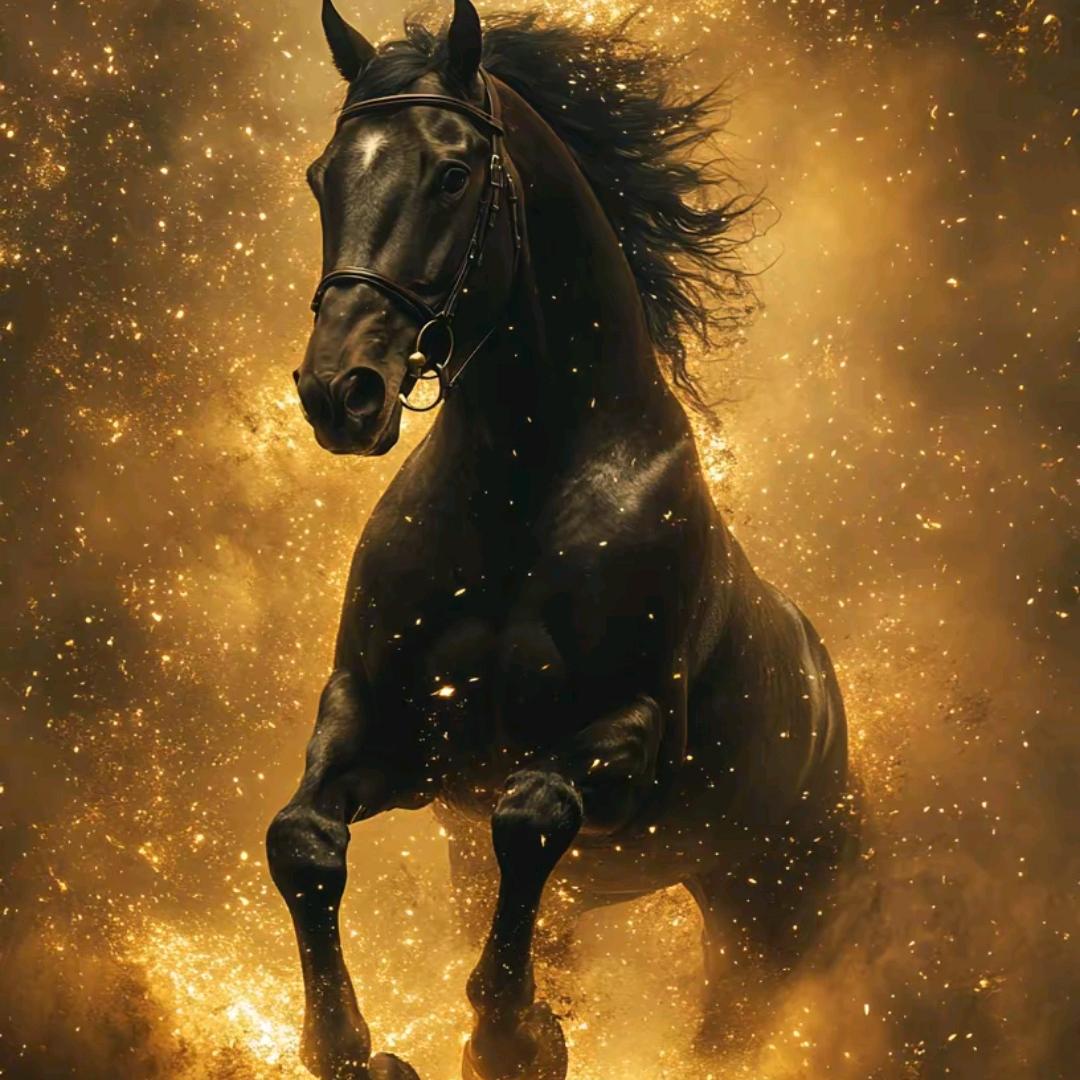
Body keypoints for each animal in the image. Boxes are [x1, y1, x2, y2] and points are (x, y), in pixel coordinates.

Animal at [266, 3, 854, 1078]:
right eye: (323, 175)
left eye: (452, 172)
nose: (341, 392)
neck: (521, 491)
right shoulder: (392, 733)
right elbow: (303, 842)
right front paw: (356, 1050)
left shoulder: (628, 741)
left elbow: (533, 815)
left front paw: (514, 1035)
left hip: (770, 918)